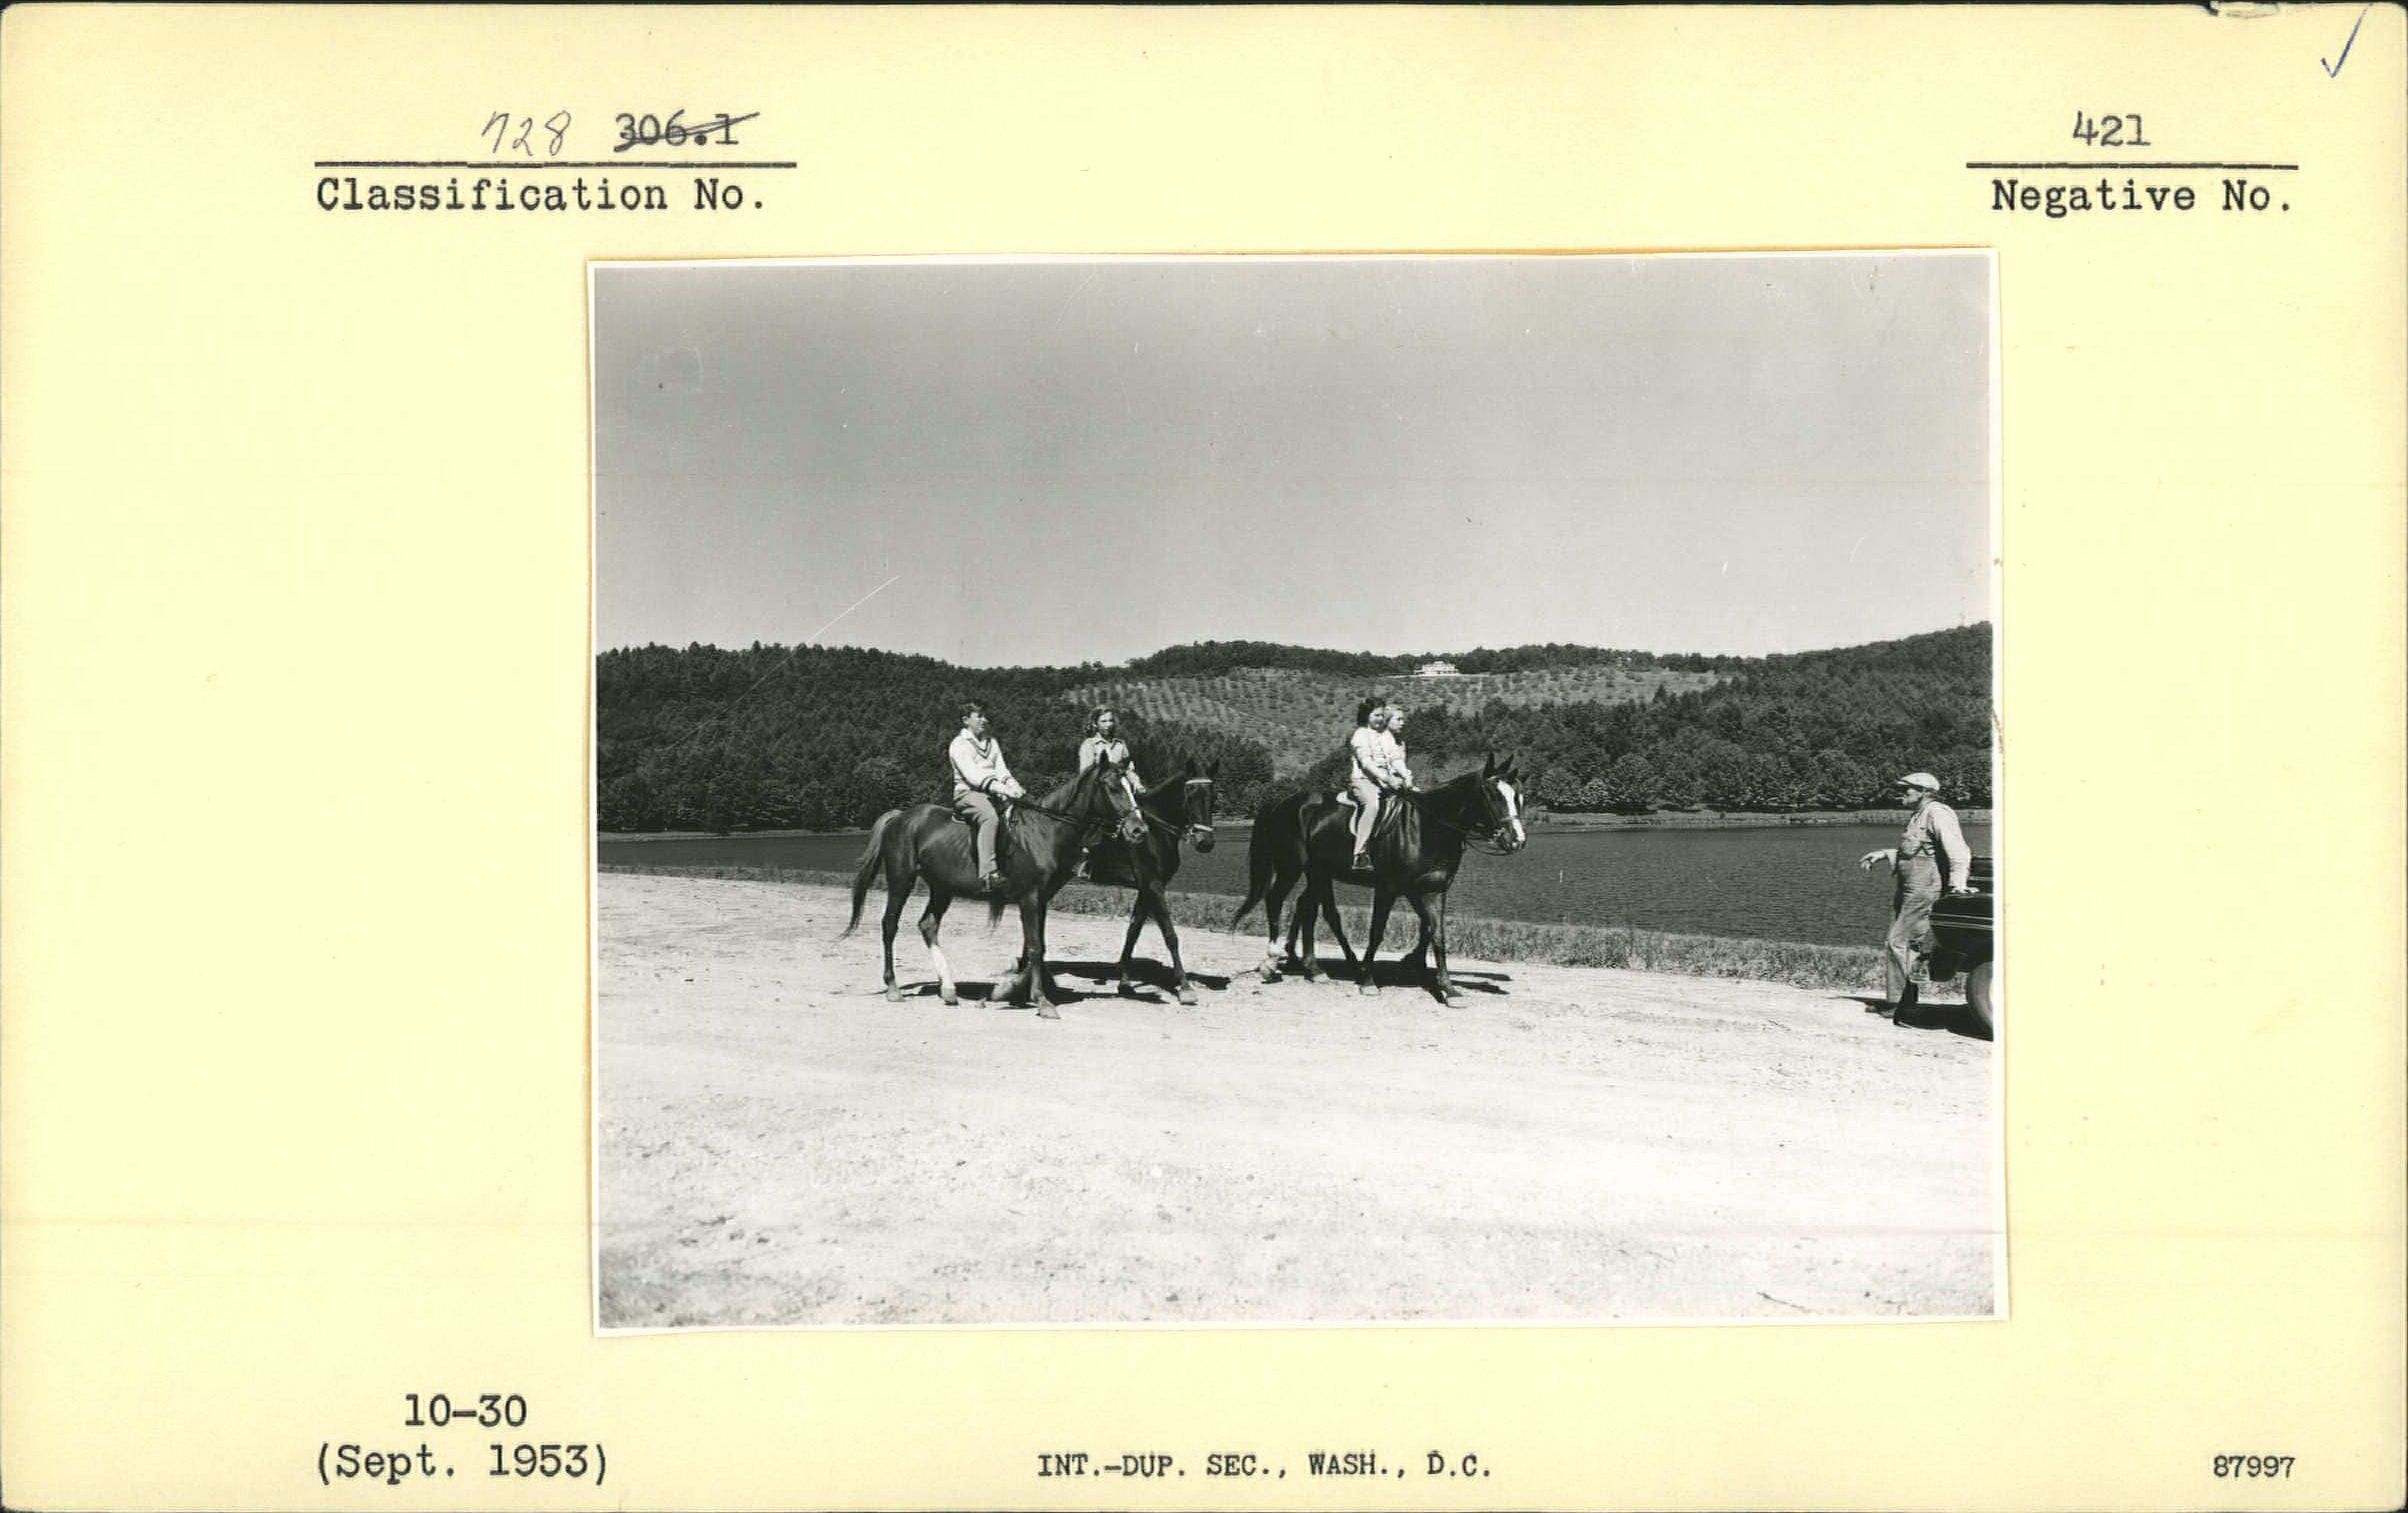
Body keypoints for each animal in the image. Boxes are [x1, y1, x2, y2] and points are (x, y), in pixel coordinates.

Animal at [847, 761, 1146, 1021]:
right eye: (1112, 787)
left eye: (1131, 786)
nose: (1138, 830)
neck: (1044, 831)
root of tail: (900, 817)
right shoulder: (1030, 897)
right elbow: (1035, 947)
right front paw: (1040, 1000)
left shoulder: (1042, 899)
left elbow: (1036, 947)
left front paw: (1011, 990)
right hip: (901, 880)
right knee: (890, 925)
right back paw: (893, 988)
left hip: (942, 888)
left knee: (928, 925)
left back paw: (948, 989)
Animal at [1083, 761, 1223, 997]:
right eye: (1190, 796)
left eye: (1213, 797)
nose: (1205, 842)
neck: (1155, 831)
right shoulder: (1154, 886)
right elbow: (1170, 934)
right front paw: (1184, 985)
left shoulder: (1146, 888)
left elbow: (1133, 931)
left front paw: (1125, 982)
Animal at [1242, 756, 1521, 1007]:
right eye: (1493, 795)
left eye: (1518, 796)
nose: (1517, 840)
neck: (1427, 827)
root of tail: (1281, 802)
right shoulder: (1388, 888)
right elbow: (1377, 932)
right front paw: (1368, 981)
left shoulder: (1432, 889)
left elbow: (1436, 934)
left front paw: (1448, 989)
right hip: (1291, 867)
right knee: (1276, 899)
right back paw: (1273, 962)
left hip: (1318, 872)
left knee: (1309, 908)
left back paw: (1314, 969)